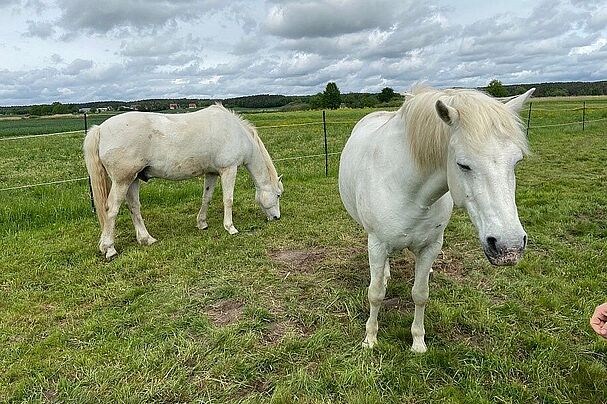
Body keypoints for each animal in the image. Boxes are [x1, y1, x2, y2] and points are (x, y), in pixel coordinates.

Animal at [83, 104, 282, 260]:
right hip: (121, 181)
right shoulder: (228, 170)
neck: (235, 132)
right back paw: (109, 249)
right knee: (111, 210)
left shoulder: (211, 173)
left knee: (134, 207)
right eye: (278, 195)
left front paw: (202, 223)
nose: (276, 218)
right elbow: (228, 200)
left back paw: (146, 239)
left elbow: (206, 198)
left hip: (132, 180)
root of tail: (101, 128)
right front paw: (230, 227)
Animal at [340, 87, 536, 352]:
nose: (510, 247)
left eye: (516, 161)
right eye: (463, 164)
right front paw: (370, 339)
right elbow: (376, 293)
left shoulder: (431, 246)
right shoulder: (378, 243)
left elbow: (420, 294)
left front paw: (418, 343)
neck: (407, 187)